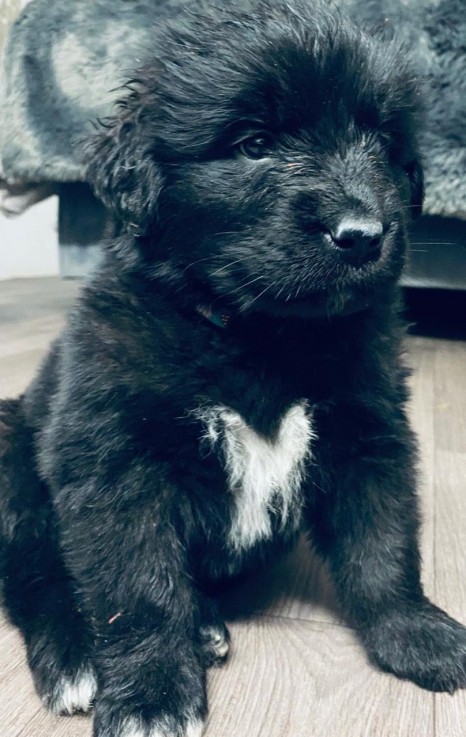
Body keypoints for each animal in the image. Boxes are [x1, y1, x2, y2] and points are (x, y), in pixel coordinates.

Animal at [0, 1, 466, 736]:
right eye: (254, 144)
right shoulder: (117, 461)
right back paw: (77, 658)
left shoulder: (369, 434)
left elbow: (383, 544)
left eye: (383, 142)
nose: (363, 234)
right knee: (34, 570)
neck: (260, 337)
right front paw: (151, 694)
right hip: (14, 462)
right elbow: (138, 588)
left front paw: (418, 634)